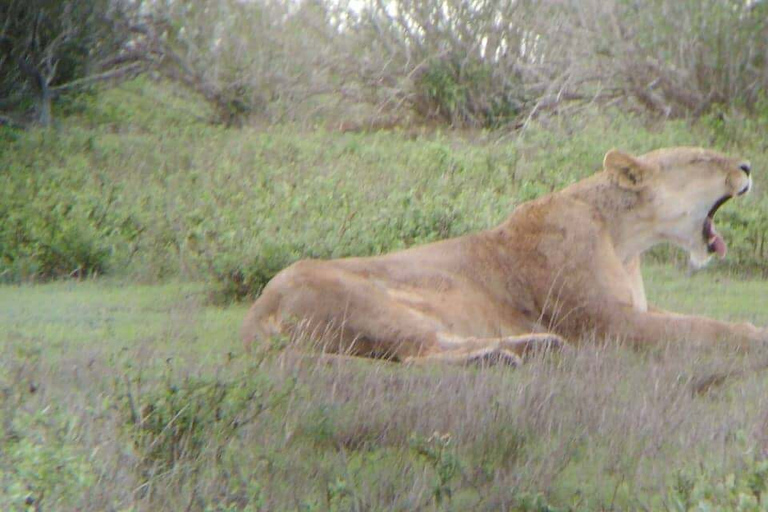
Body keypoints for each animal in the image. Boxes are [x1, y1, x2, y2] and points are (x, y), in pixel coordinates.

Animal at [242, 146, 768, 366]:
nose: (746, 166)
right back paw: (504, 355)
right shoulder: (609, 325)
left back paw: (535, 346)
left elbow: (698, 320)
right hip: (369, 302)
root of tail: (258, 311)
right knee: (418, 355)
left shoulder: (636, 309)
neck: (627, 241)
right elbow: (701, 330)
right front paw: (755, 339)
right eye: (701, 160)